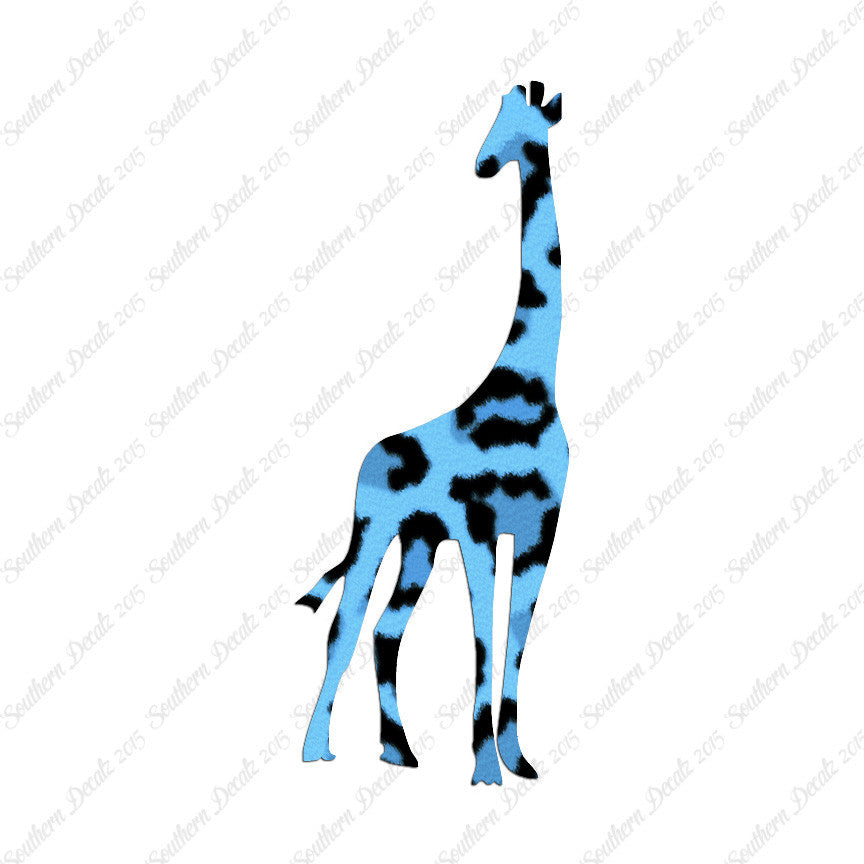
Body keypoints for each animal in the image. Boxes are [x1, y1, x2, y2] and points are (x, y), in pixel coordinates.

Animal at [295, 81, 568, 785]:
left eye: (516, 118)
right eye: (497, 113)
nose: (483, 164)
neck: (531, 380)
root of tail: (368, 456)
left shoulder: (539, 529)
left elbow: (515, 637)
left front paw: (517, 761)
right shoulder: (479, 525)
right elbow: (482, 635)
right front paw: (485, 770)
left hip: (419, 540)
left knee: (386, 630)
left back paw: (399, 750)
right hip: (374, 528)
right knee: (345, 623)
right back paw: (316, 749)